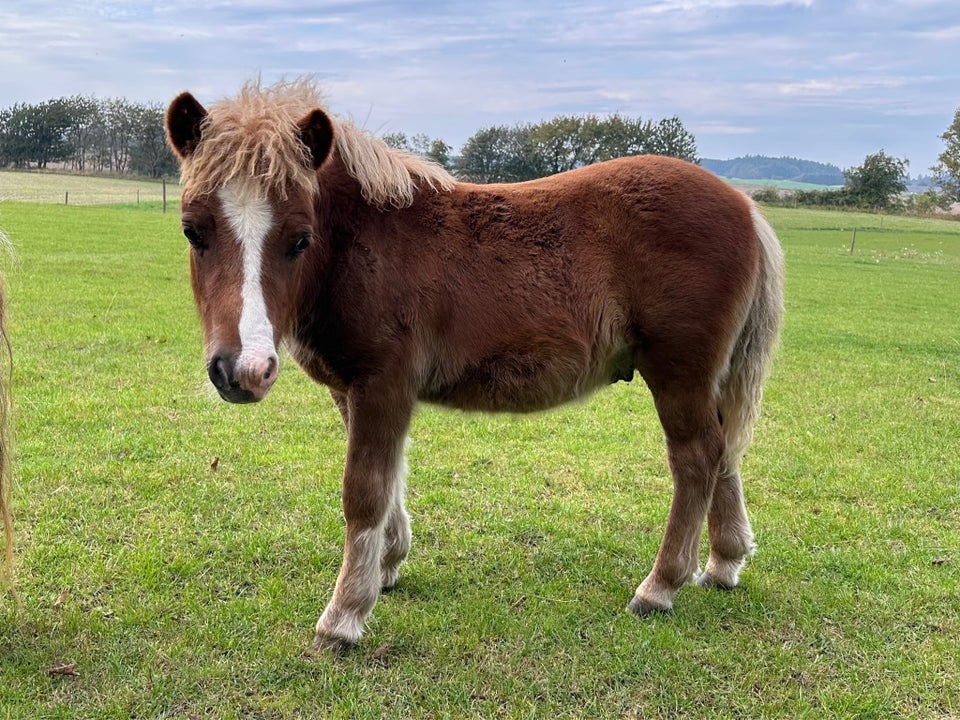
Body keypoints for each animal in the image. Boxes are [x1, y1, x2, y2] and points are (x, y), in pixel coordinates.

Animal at [163, 76, 780, 648]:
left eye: (299, 238)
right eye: (192, 231)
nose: (244, 371)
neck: (364, 242)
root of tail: (746, 206)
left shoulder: (382, 383)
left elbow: (364, 493)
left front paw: (344, 616)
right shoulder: (355, 390)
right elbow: (391, 480)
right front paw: (387, 567)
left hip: (678, 374)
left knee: (696, 459)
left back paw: (659, 587)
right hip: (705, 379)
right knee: (722, 450)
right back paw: (724, 563)